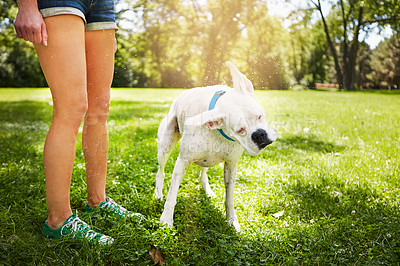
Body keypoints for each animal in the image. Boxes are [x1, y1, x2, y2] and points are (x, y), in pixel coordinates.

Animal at [155, 61, 276, 230]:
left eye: (259, 116)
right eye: (240, 130)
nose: (259, 135)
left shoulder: (231, 165)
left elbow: (229, 198)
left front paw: (232, 221)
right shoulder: (183, 162)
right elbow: (172, 195)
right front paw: (166, 219)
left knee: (202, 173)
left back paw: (207, 190)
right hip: (165, 146)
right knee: (160, 172)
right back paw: (158, 195)